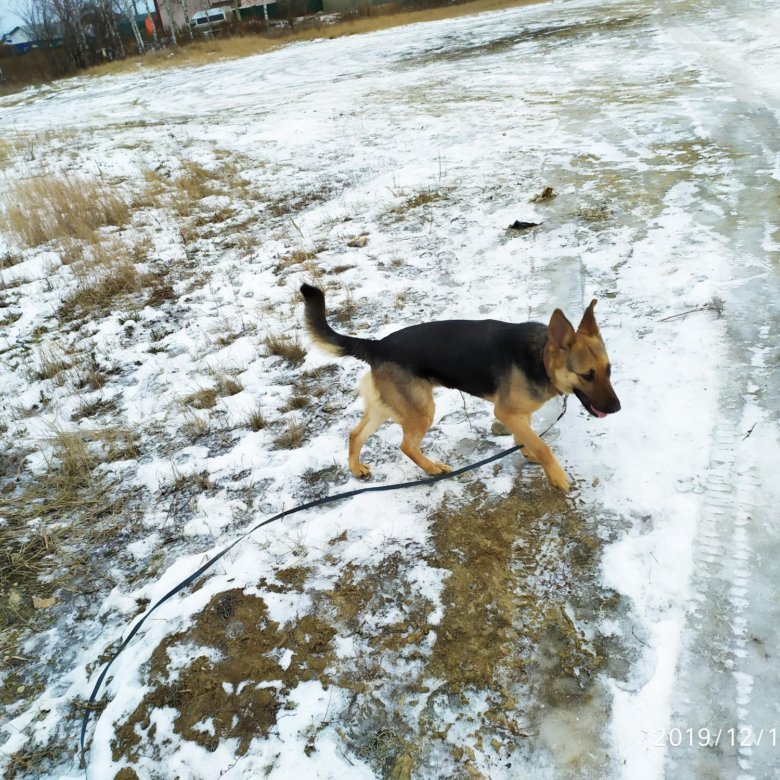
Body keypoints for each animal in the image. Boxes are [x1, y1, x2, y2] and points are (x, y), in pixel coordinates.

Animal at [300, 284, 620, 494]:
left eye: (609, 369)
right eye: (587, 375)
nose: (617, 409)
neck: (539, 356)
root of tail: (377, 345)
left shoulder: (517, 412)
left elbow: (526, 436)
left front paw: (528, 453)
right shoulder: (504, 412)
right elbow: (542, 445)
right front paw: (555, 476)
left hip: (388, 406)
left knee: (356, 434)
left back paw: (356, 468)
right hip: (421, 409)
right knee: (406, 445)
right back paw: (432, 469)